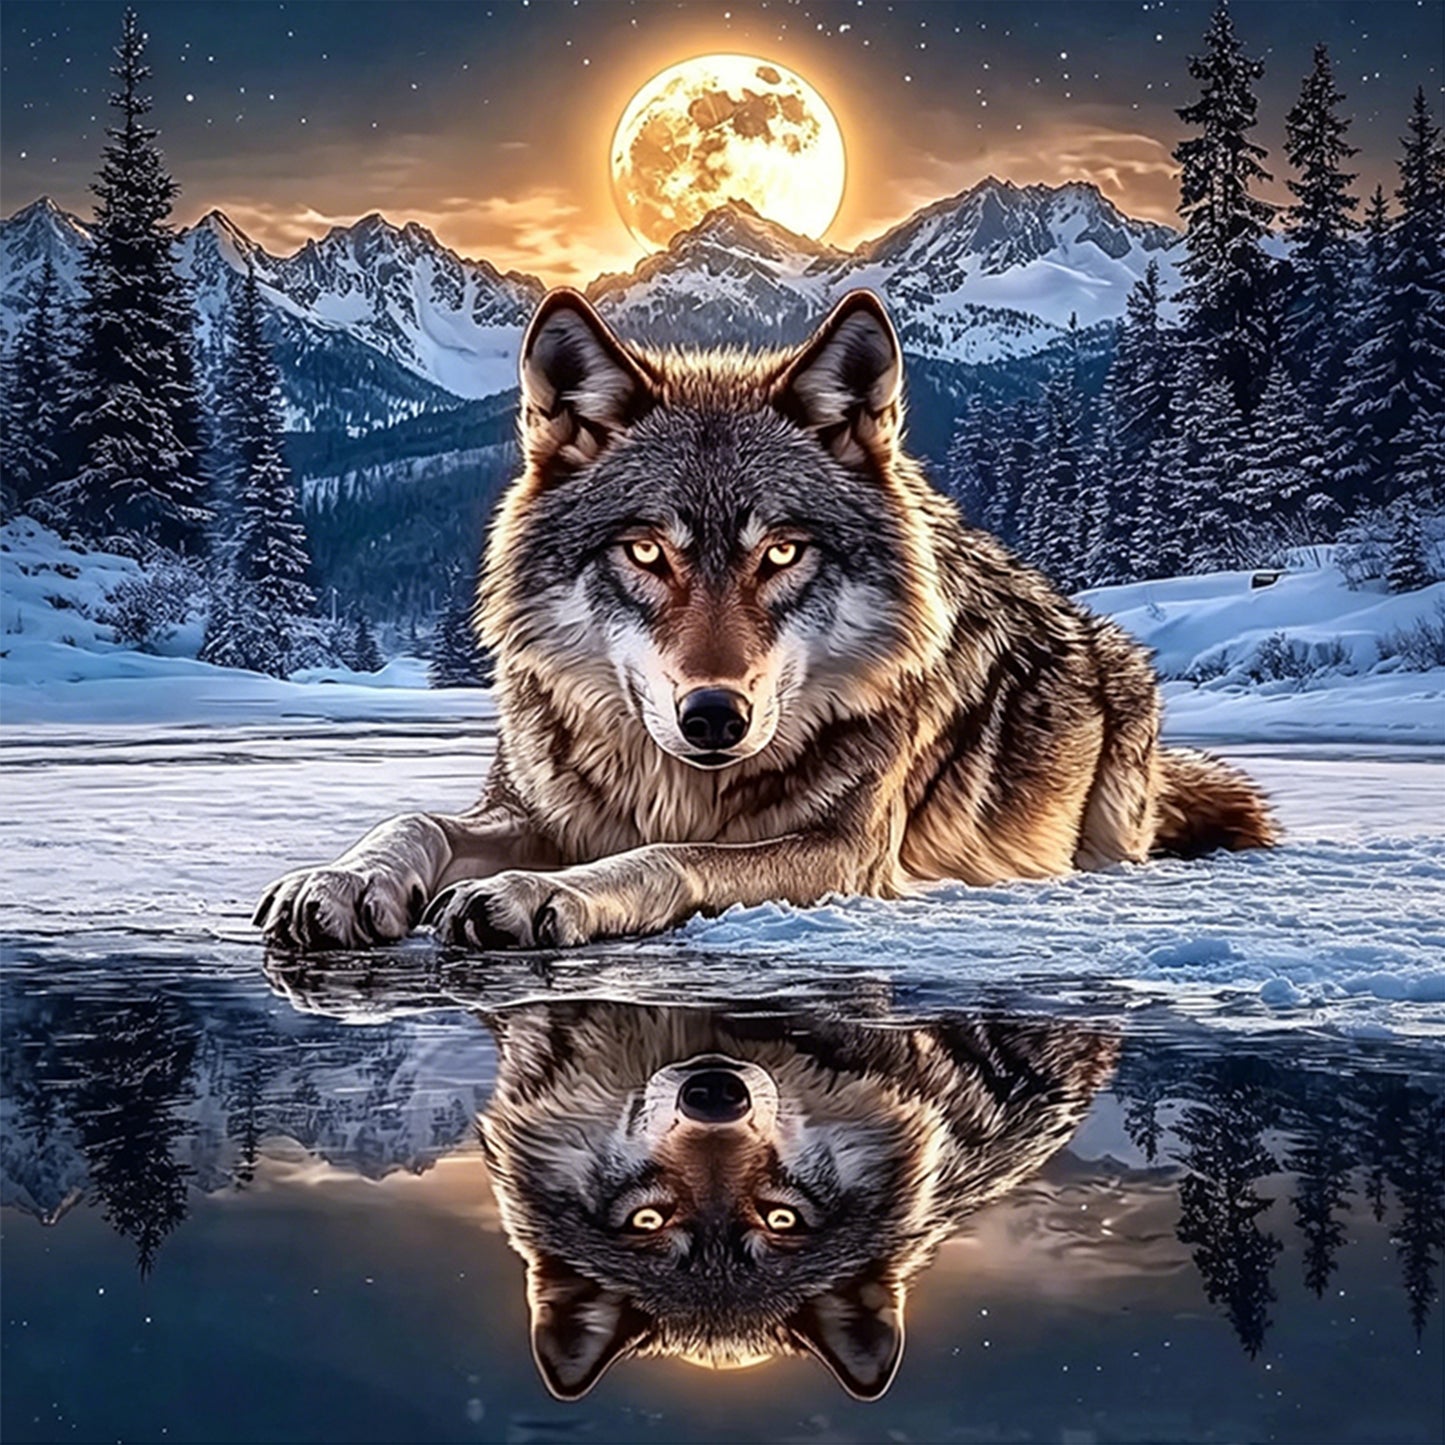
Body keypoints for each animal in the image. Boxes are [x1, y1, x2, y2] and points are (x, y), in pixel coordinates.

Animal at [254, 287, 1276, 951]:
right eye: (646, 552)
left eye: (780, 553)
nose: (714, 715)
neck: (672, 779)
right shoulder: (531, 807)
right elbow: (414, 819)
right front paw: (339, 879)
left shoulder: (843, 854)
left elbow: (669, 854)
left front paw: (539, 891)